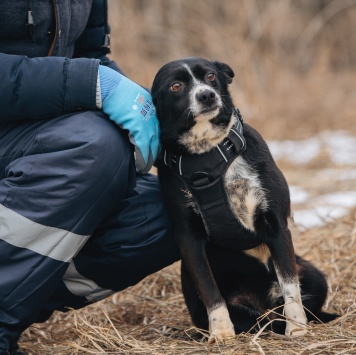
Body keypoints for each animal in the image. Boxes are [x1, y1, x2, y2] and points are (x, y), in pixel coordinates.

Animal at [150, 58, 336, 344]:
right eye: (176, 86)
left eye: (211, 76)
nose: (206, 95)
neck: (207, 155)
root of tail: (265, 304)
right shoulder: (189, 238)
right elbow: (210, 290)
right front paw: (221, 333)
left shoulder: (276, 225)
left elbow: (290, 285)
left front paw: (297, 328)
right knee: (259, 319)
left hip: (314, 275)